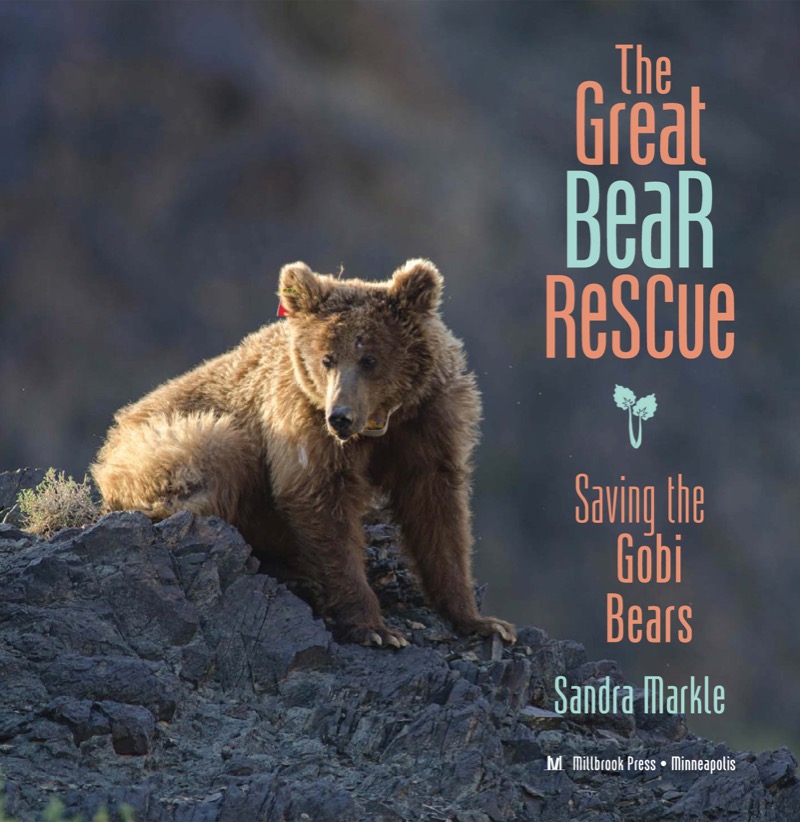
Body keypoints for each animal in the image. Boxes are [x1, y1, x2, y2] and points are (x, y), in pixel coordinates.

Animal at [91, 259, 516, 648]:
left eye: (370, 358)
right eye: (327, 358)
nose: (340, 416)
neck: (381, 423)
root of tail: (112, 436)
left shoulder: (429, 422)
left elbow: (437, 511)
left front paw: (482, 620)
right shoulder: (300, 419)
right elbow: (320, 501)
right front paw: (375, 628)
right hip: (162, 444)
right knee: (216, 455)